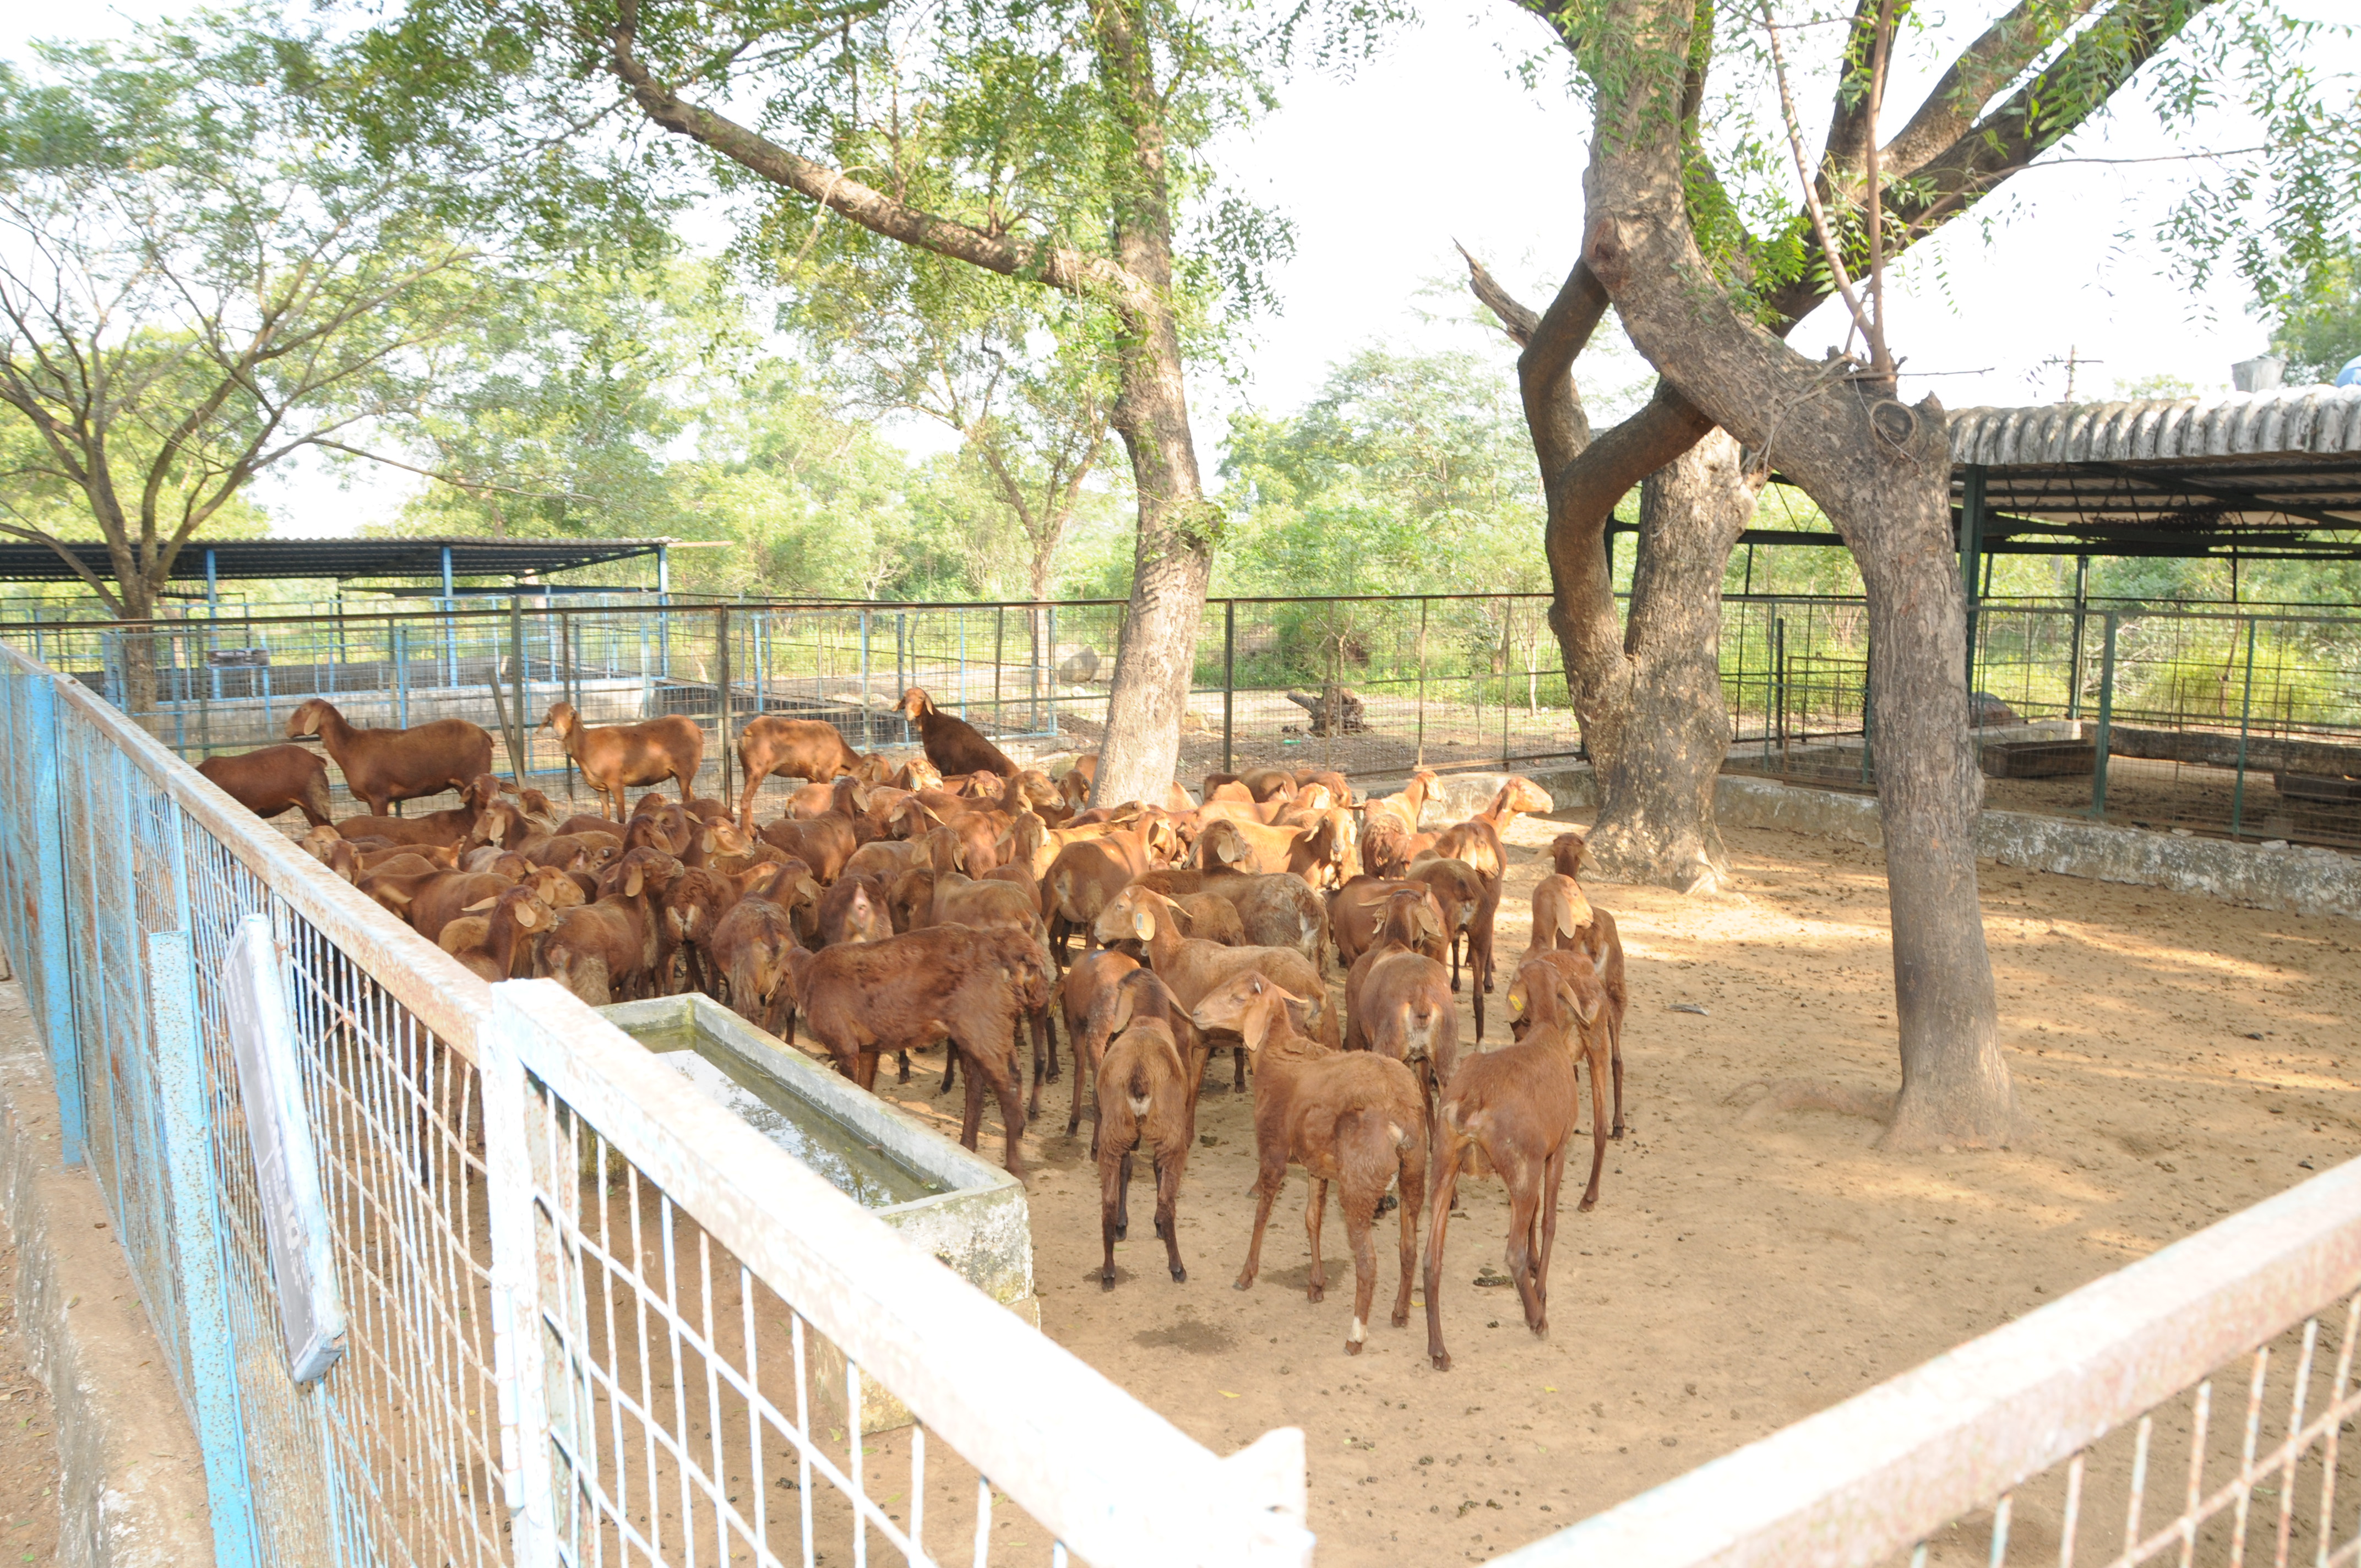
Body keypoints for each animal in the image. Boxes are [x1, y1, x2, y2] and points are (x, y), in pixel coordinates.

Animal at [286, 699, 498, 821]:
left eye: (304, 709)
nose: (286, 728)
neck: (350, 747)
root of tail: (485, 734)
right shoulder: (371, 800)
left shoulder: (379, 796)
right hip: (462, 784)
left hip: (473, 773)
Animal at [540, 699, 699, 821]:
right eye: (550, 715)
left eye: (572, 713)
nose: (558, 733)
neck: (586, 744)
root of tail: (696, 729)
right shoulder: (600, 788)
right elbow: (606, 816)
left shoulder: (616, 781)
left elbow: (621, 817)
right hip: (681, 774)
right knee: (693, 798)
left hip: (685, 771)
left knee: (687, 800)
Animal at [1190, 973, 1426, 1351]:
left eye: (1238, 998)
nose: (1196, 1013)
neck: (1276, 1056)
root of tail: (1399, 1110)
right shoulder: (1317, 1165)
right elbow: (1312, 1219)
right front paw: (1316, 1285)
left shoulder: (1272, 1149)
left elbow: (1262, 1214)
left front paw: (1246, 1274)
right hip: (1414, 1172)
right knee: (1409, 1247)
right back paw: (1401, 1313)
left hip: (1360, 1182)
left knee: (1368, 1261)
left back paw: (1356, 1334)